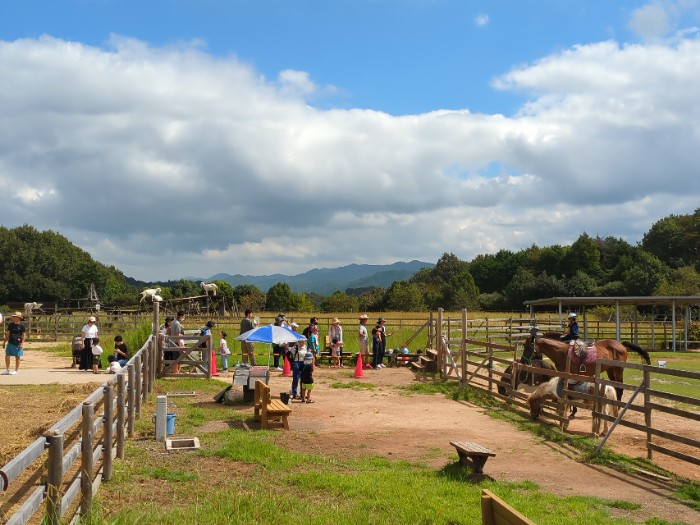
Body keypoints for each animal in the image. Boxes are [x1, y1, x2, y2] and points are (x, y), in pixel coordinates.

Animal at [524, 328, 652, 402]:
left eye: (528, 347)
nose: (523, 361)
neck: (562, 352)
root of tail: (620, 344)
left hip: (618, 369)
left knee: (620, 386)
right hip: (610, 370)